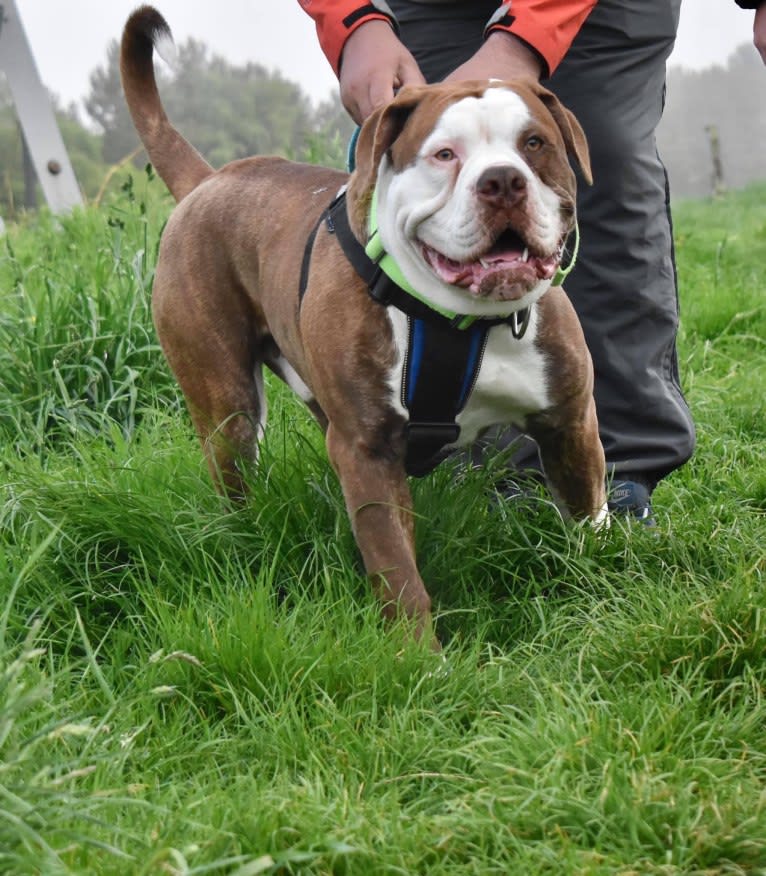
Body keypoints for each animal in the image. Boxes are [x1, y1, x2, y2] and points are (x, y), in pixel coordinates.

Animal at [120, 6, 608, 644]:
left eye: (534, 144)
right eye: (444, 154)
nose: (503, 180)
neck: (459, 321)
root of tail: (209, 180)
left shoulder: (568, 423)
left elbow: (588, 519)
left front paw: (603, 585)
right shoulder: (366, 450)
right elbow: (396, 567)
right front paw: (419, 655)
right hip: (227, 407)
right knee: (235, 465)